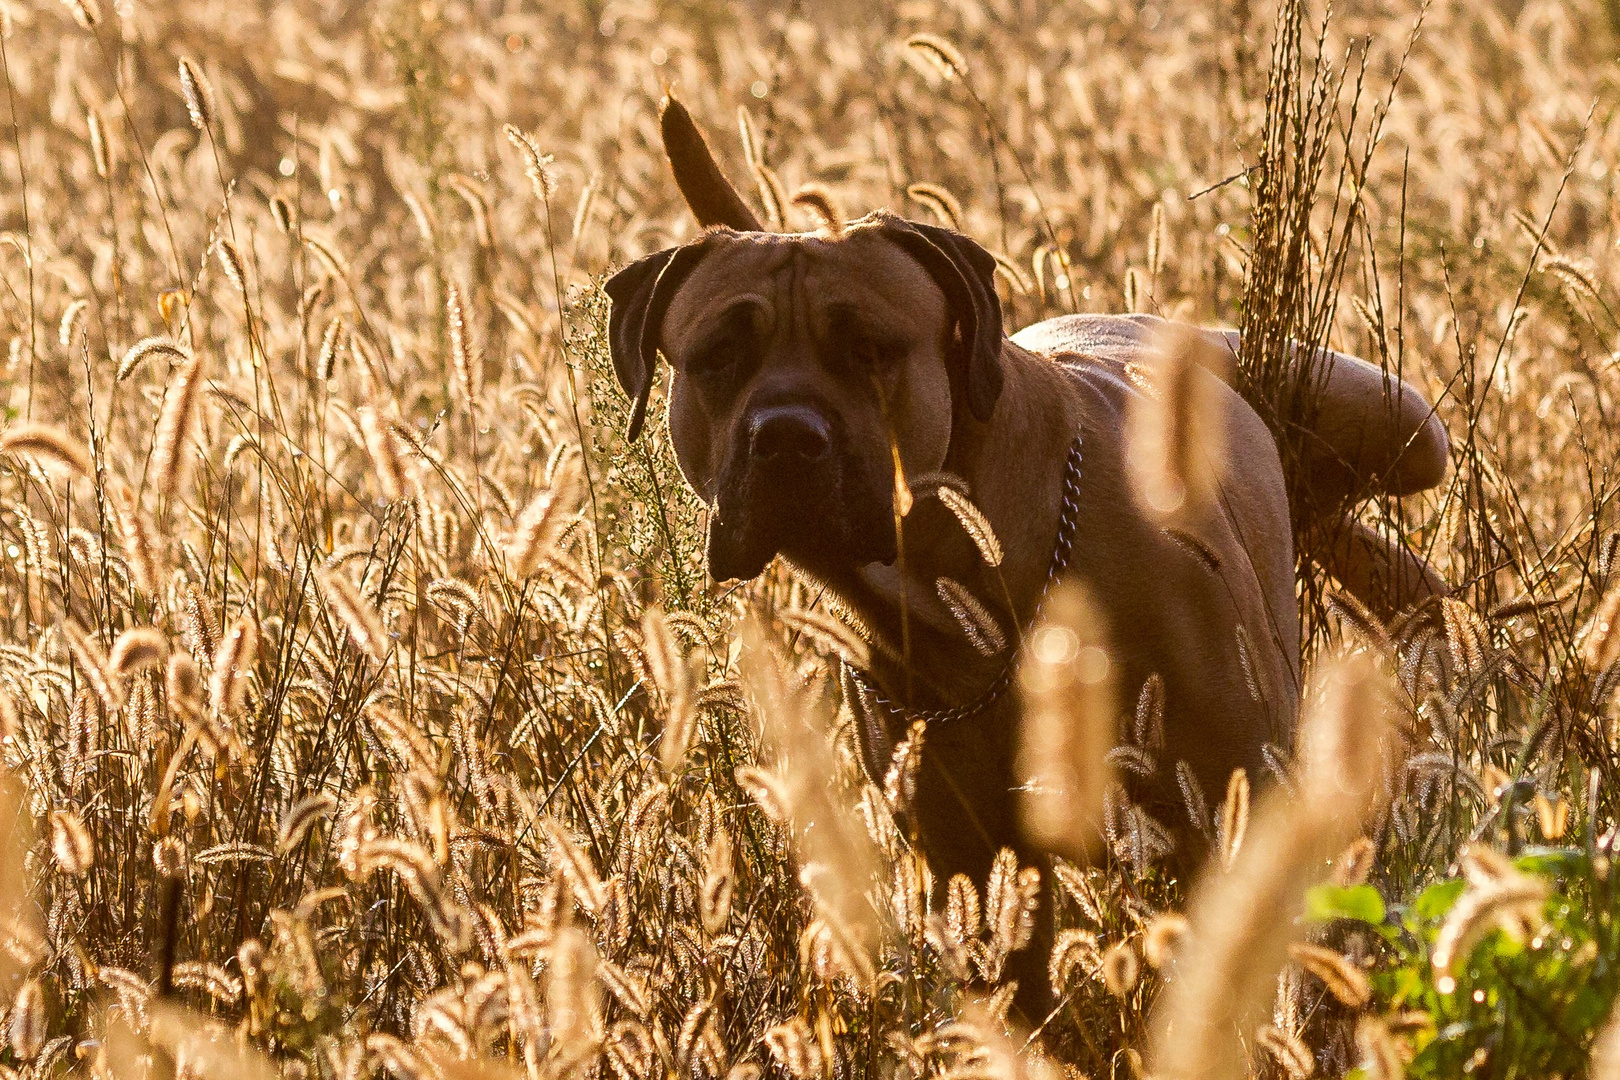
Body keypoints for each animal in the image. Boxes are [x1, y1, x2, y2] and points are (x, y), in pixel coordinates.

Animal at [602, 101, 1451, 1023]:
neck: (963, 589)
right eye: (717, 356)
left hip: (1404, 428)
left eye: (869, 348)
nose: (787, 436)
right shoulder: (976, 878)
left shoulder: (1240, 808)